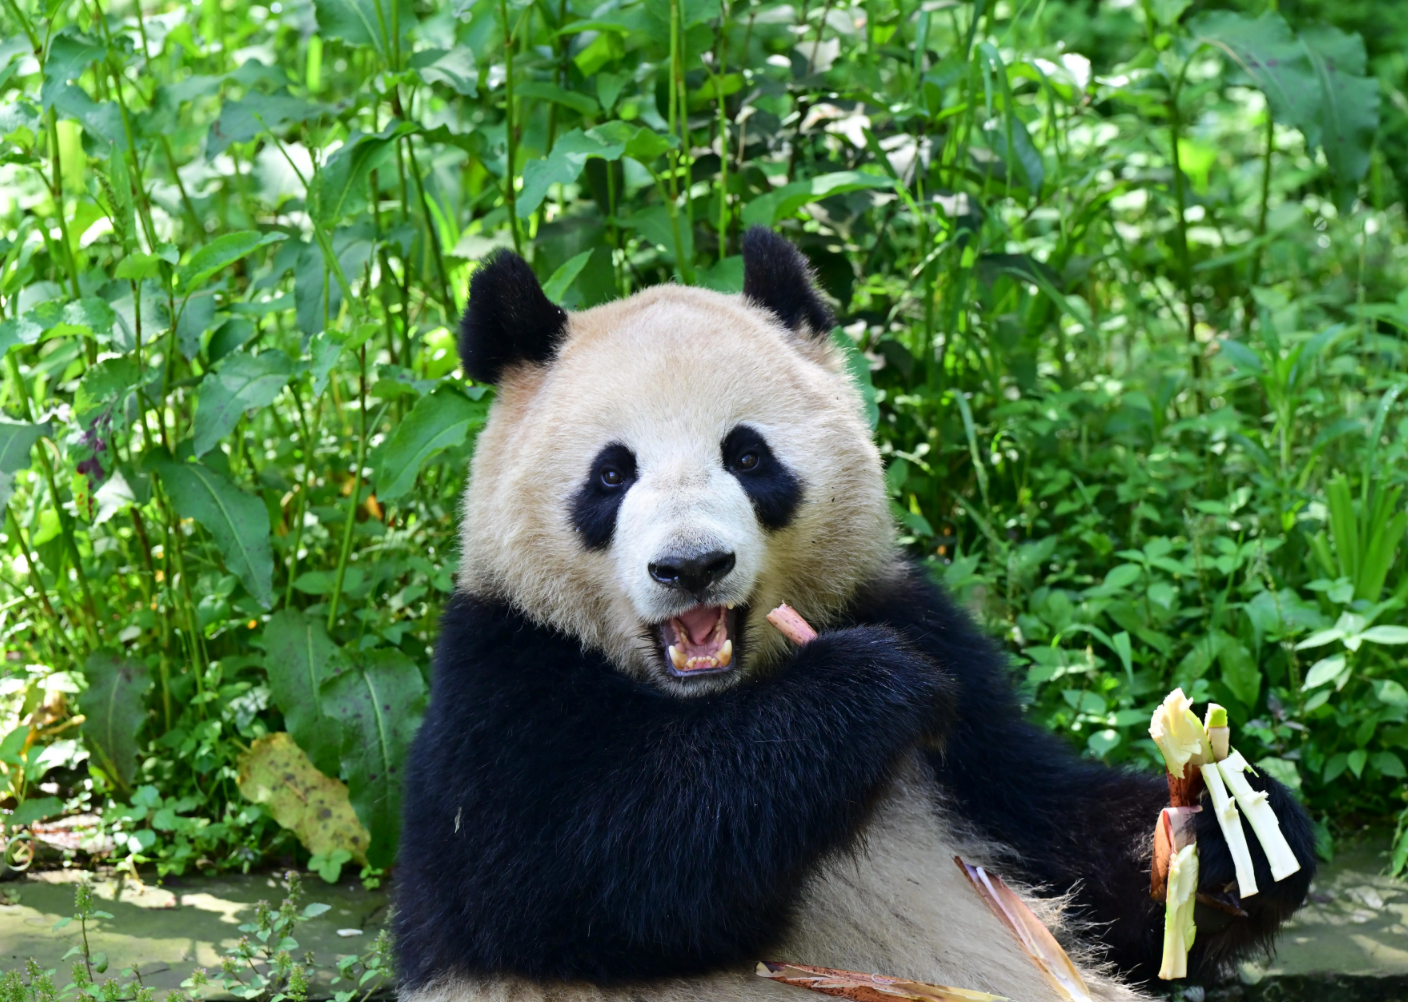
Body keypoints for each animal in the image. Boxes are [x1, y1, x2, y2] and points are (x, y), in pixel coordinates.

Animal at [394, 228, 1315, 1002]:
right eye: (612, 474)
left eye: (748, 455)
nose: (691, 567)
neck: (713, 699)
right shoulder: (503, 676)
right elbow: (572, 874)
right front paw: (870, 688)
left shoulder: (921, 639)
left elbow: (1057, 837)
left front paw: (1231, 833)